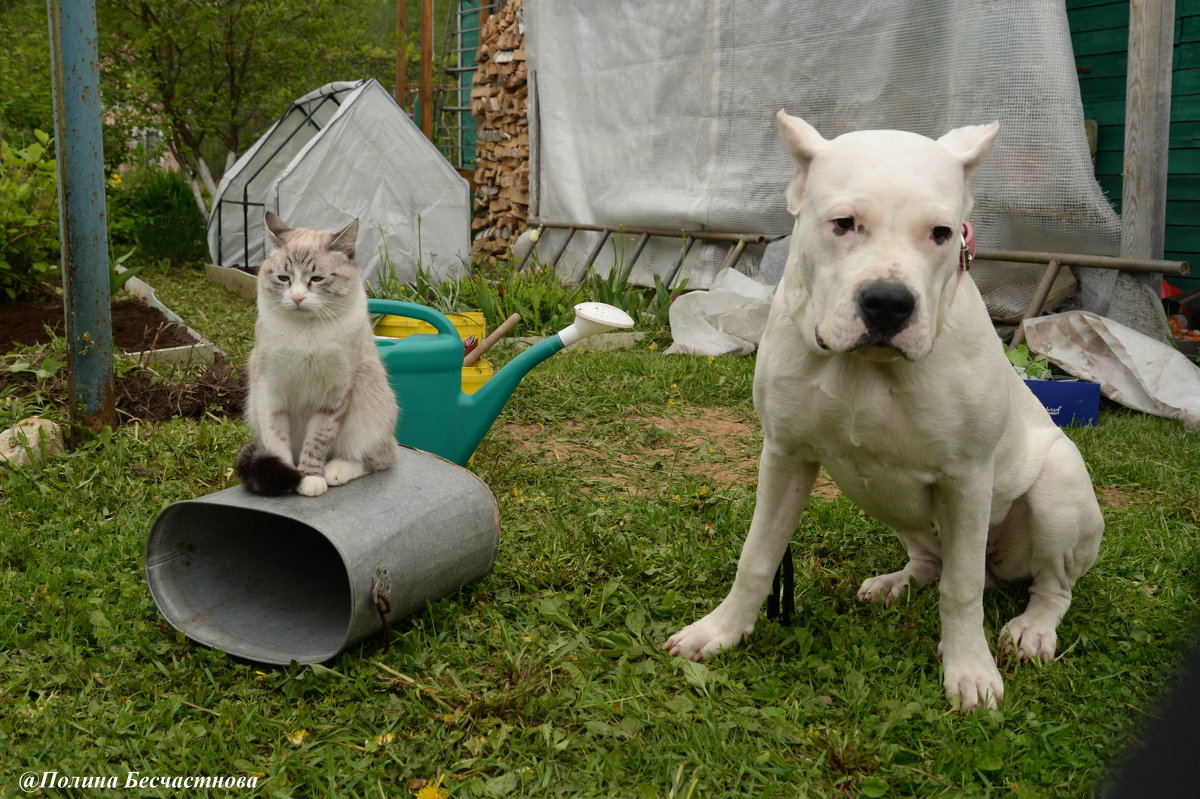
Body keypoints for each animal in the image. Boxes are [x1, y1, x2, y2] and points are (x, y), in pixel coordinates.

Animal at [237, 209, 398, 491]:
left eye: (316, 279)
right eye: (284, 278)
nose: (297, 298)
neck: (306, 331)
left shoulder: (334, 395)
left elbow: (318, 441)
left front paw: (310, 478)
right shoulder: (269, 391)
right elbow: (276, 443)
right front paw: (287, 477)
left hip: (370, 413)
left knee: (379, 458)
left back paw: (335, 471)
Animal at [667, 112, 1104, 710]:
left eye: (942, 233)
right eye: (843, 223)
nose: (889, 304)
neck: (866, 366)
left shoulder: (967, 479)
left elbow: (962, 589)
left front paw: (970, 670)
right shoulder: (785, 456)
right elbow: (757, 556)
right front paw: (720, 630)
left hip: (1058, 488)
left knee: (1047, 586)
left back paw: (1032, 629)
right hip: (892, 506)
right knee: (933, 561)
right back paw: (897, 582)